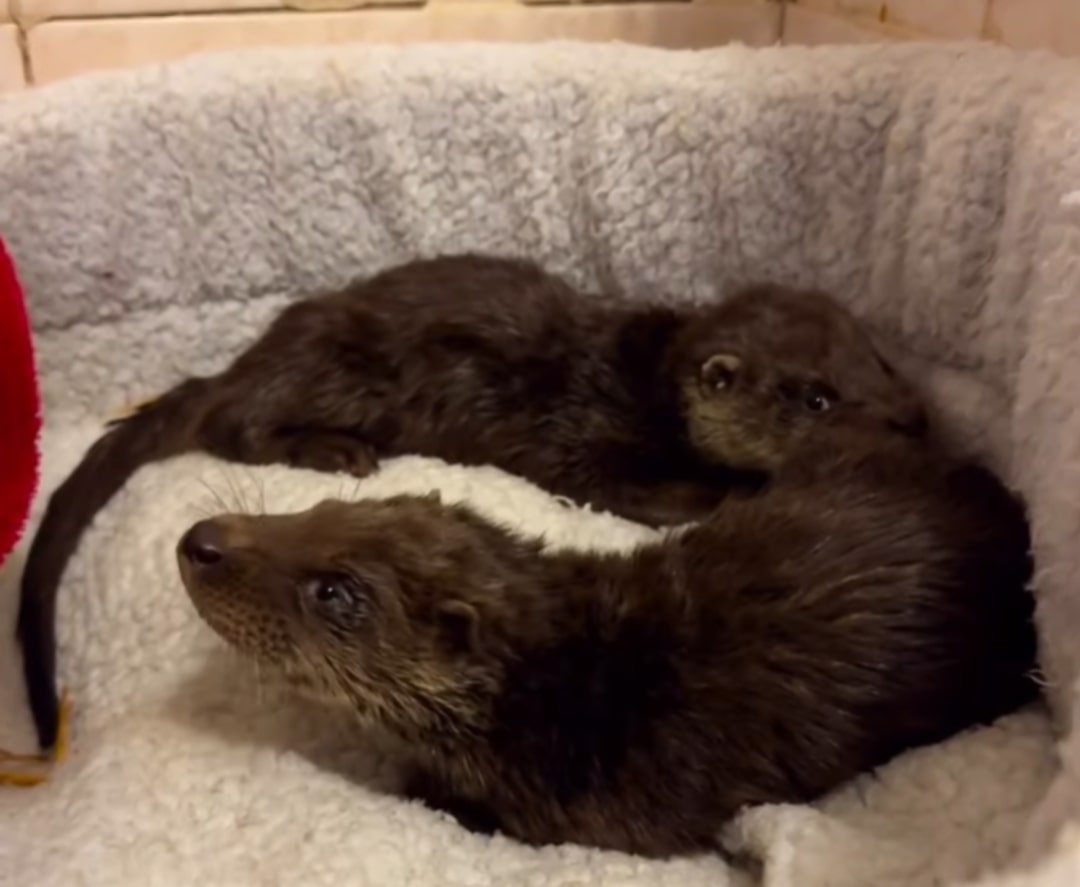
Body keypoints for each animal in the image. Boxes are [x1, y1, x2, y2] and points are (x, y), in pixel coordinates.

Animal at [18, 253, 927, 751]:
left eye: (878, 359)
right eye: (816, 396)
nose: (912, 417)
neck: (640, 384)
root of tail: (252, 356)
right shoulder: (581, 434)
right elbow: (625, 488)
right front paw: (731, 491)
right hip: (332, 366)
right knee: (231, 421)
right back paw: (334, 449)